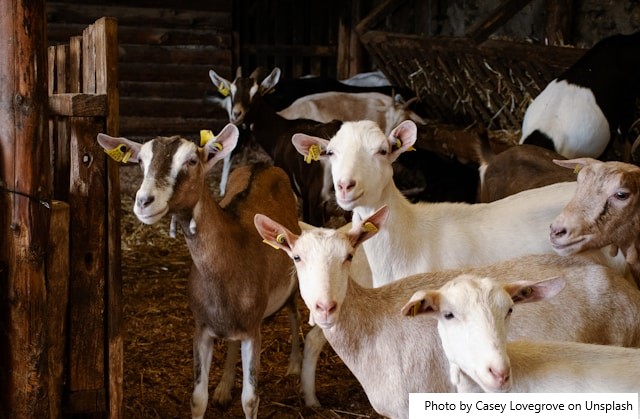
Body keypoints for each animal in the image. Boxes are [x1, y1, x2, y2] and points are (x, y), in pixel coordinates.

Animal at [97, 124, 302, 419]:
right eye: (141, 161)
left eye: (191, 161)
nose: (144, 202)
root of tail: (262, 165)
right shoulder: (202, 326)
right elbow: (197, 398)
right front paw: (216, 392)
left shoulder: (253, 330)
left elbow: (250, 399)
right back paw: (224, 388)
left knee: (295, 311)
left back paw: (295, 366)